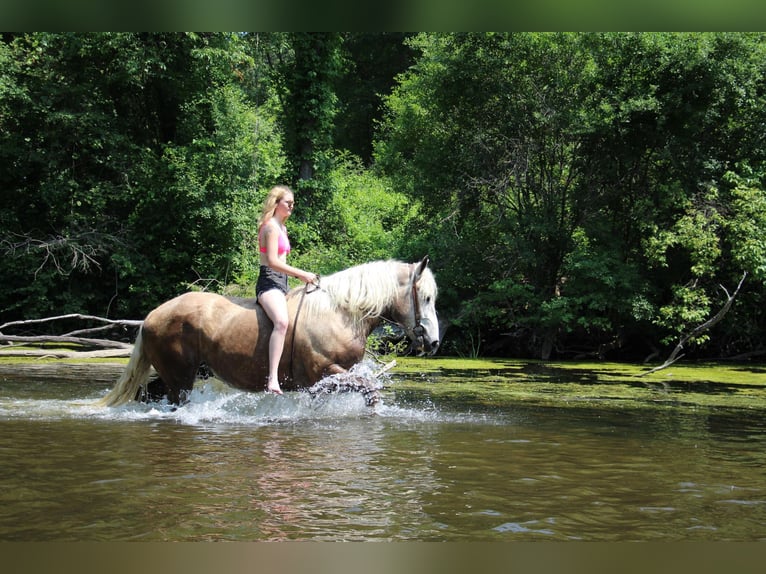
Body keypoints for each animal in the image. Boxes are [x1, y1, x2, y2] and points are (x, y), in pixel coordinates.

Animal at [99, 256, 440, 410]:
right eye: (425, 297)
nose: (434, 342)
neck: (339, 313)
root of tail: (152, 315)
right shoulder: (322, 373)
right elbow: (369, 387)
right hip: (179, 379)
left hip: (177, 376)